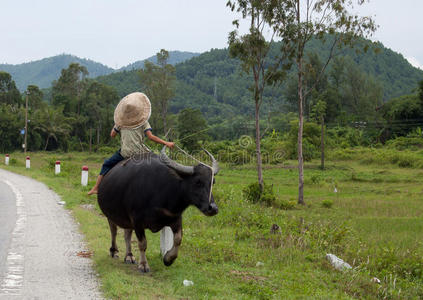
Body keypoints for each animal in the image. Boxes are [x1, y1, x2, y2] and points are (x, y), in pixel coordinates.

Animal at [98, 146, 220, 274]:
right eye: (198, 182)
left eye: (213, 182)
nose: (213, 208)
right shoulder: (137, 221)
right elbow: (142, 243)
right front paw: (143, 265)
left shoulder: (175, 218)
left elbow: (178, 239)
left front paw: (168, 259)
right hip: (110, 215)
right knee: (114, 231)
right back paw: (114, 251)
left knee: (127, 234)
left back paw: (129, 256)